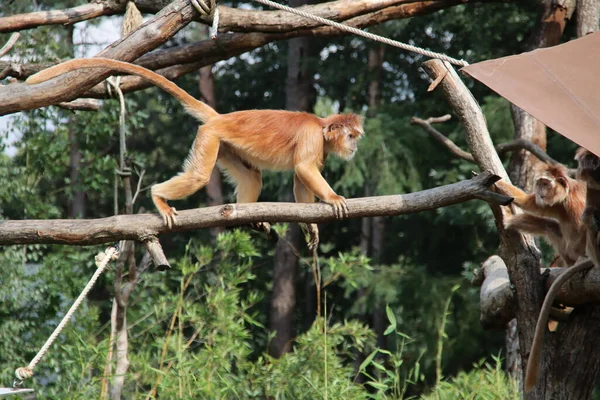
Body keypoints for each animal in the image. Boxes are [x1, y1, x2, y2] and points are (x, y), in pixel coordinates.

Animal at [27, 59, 366, 228]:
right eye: (351, 136)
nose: (355, 148)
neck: (321, 126)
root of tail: (222, 117)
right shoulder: (311, 137)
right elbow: (304, 168)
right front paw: (333, 198)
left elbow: (301, 177)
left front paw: (311, 227)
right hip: (210, 136)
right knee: (200, 176)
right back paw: (158, 196)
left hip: (225, 145)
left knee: (251, 177)